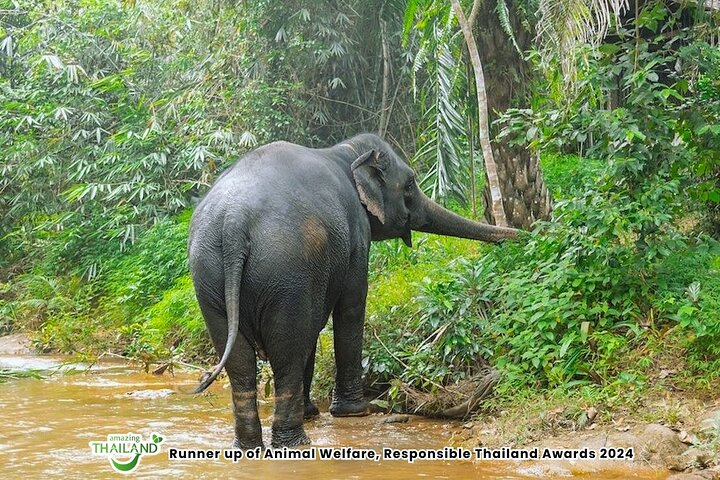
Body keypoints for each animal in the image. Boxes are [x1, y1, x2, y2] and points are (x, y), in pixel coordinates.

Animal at [188, 133, 518, 448]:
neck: (345, 151)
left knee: (240, 361)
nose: (520, 235)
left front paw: (316, 412)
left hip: (209, 278)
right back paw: (295, 443)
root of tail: (235, 222)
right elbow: (351, 306)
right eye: (410, 183)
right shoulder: (357, 233)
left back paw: (249, 447)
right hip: (284, 271)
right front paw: (355, 412)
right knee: (287, 350)